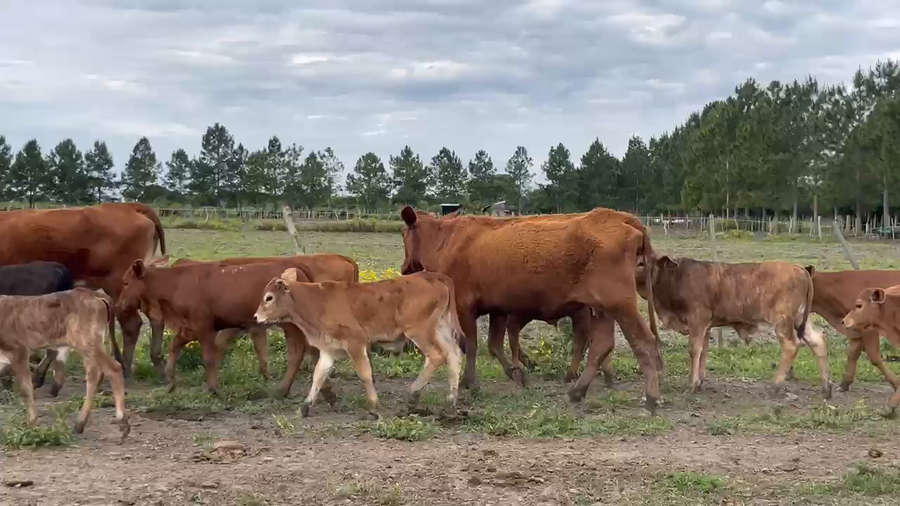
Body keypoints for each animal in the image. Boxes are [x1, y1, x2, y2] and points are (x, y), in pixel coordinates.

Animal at [0, 288, 129, 440]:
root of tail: (93, 293)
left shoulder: (18, 351)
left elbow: (26, 389)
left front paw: (31, 423)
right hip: (90, 346)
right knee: (94, 375)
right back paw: (80, 424)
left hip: (87, 343)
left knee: (114, 369)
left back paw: (123, 423)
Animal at [116, 259, 321, 398]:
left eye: (125, 282)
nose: (118, 305)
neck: (177, 283)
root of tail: (296, 266)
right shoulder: (190, 327)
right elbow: (175, 345)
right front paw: (170, 379)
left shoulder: (203, 327)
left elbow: (209, 358)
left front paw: (214, 388)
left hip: (291, 326)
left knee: (296, 352)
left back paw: (283, 389)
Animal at [254, 268, 463, 419]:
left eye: (268, 298)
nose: (256, 317)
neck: (318, 302)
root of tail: (432, 276)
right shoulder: (329, 349)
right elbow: (318, 375)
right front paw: (305, 406)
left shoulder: (355, 343)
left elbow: (365, 374)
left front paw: (374, 407)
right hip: (440, 328)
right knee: (453, 355)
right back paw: (451, 400)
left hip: (419, 331)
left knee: (436, 357)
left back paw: (413, 395)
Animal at [399, 206, 664, 415]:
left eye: (403, 234)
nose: (404, 269)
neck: (448, 240)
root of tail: (619, 216)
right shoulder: (499, 310)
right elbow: (494, 345)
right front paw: (517, 374)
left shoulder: (465, 307)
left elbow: (470, 345)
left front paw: (471, 382)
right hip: (601, 309)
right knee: (601, 346)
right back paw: (577, 391)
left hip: (620, 305)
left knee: (643, 341)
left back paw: (651, 398)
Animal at [636, 255, 831, 398]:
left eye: (641, 263)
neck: (676, 278)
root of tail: (801, 269)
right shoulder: (706, 325)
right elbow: (703, 350)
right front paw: (700, 381)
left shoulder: (697, 319)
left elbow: (694, 350)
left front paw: (692, 384)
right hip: (800, 319)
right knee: (817, 340)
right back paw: (826, 387)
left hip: (783, 321)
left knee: (791, 346)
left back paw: (775, 386)